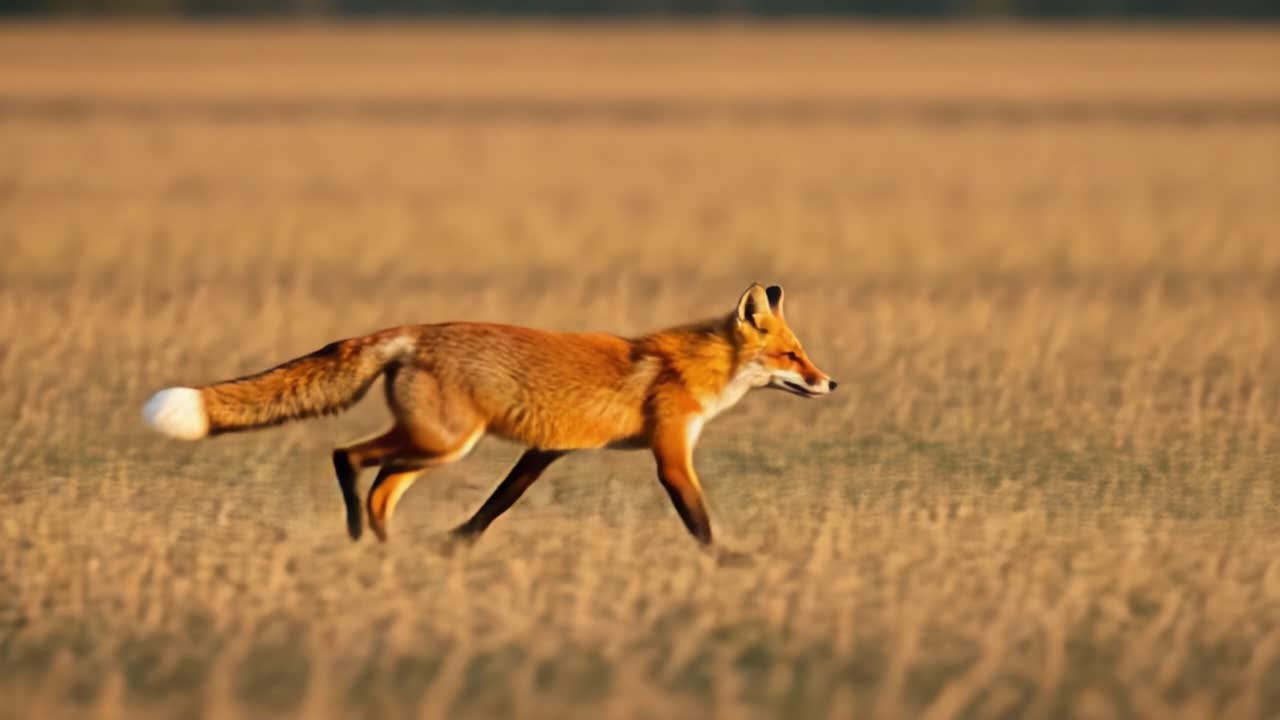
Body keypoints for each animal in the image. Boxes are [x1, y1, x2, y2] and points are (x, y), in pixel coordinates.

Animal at [142, 282, 836, 549]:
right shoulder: (670, 456)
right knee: (348, 457)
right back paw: (357, 532)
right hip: (442, 442)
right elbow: (699, 521)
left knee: (380, 487)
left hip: (434, 446)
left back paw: (386, 549)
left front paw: (456, 545)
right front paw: (729, 564)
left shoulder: (548, 448)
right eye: (792, 355)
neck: (694, 367)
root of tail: (414, 331)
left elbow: (498, 503)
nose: (830, 381)